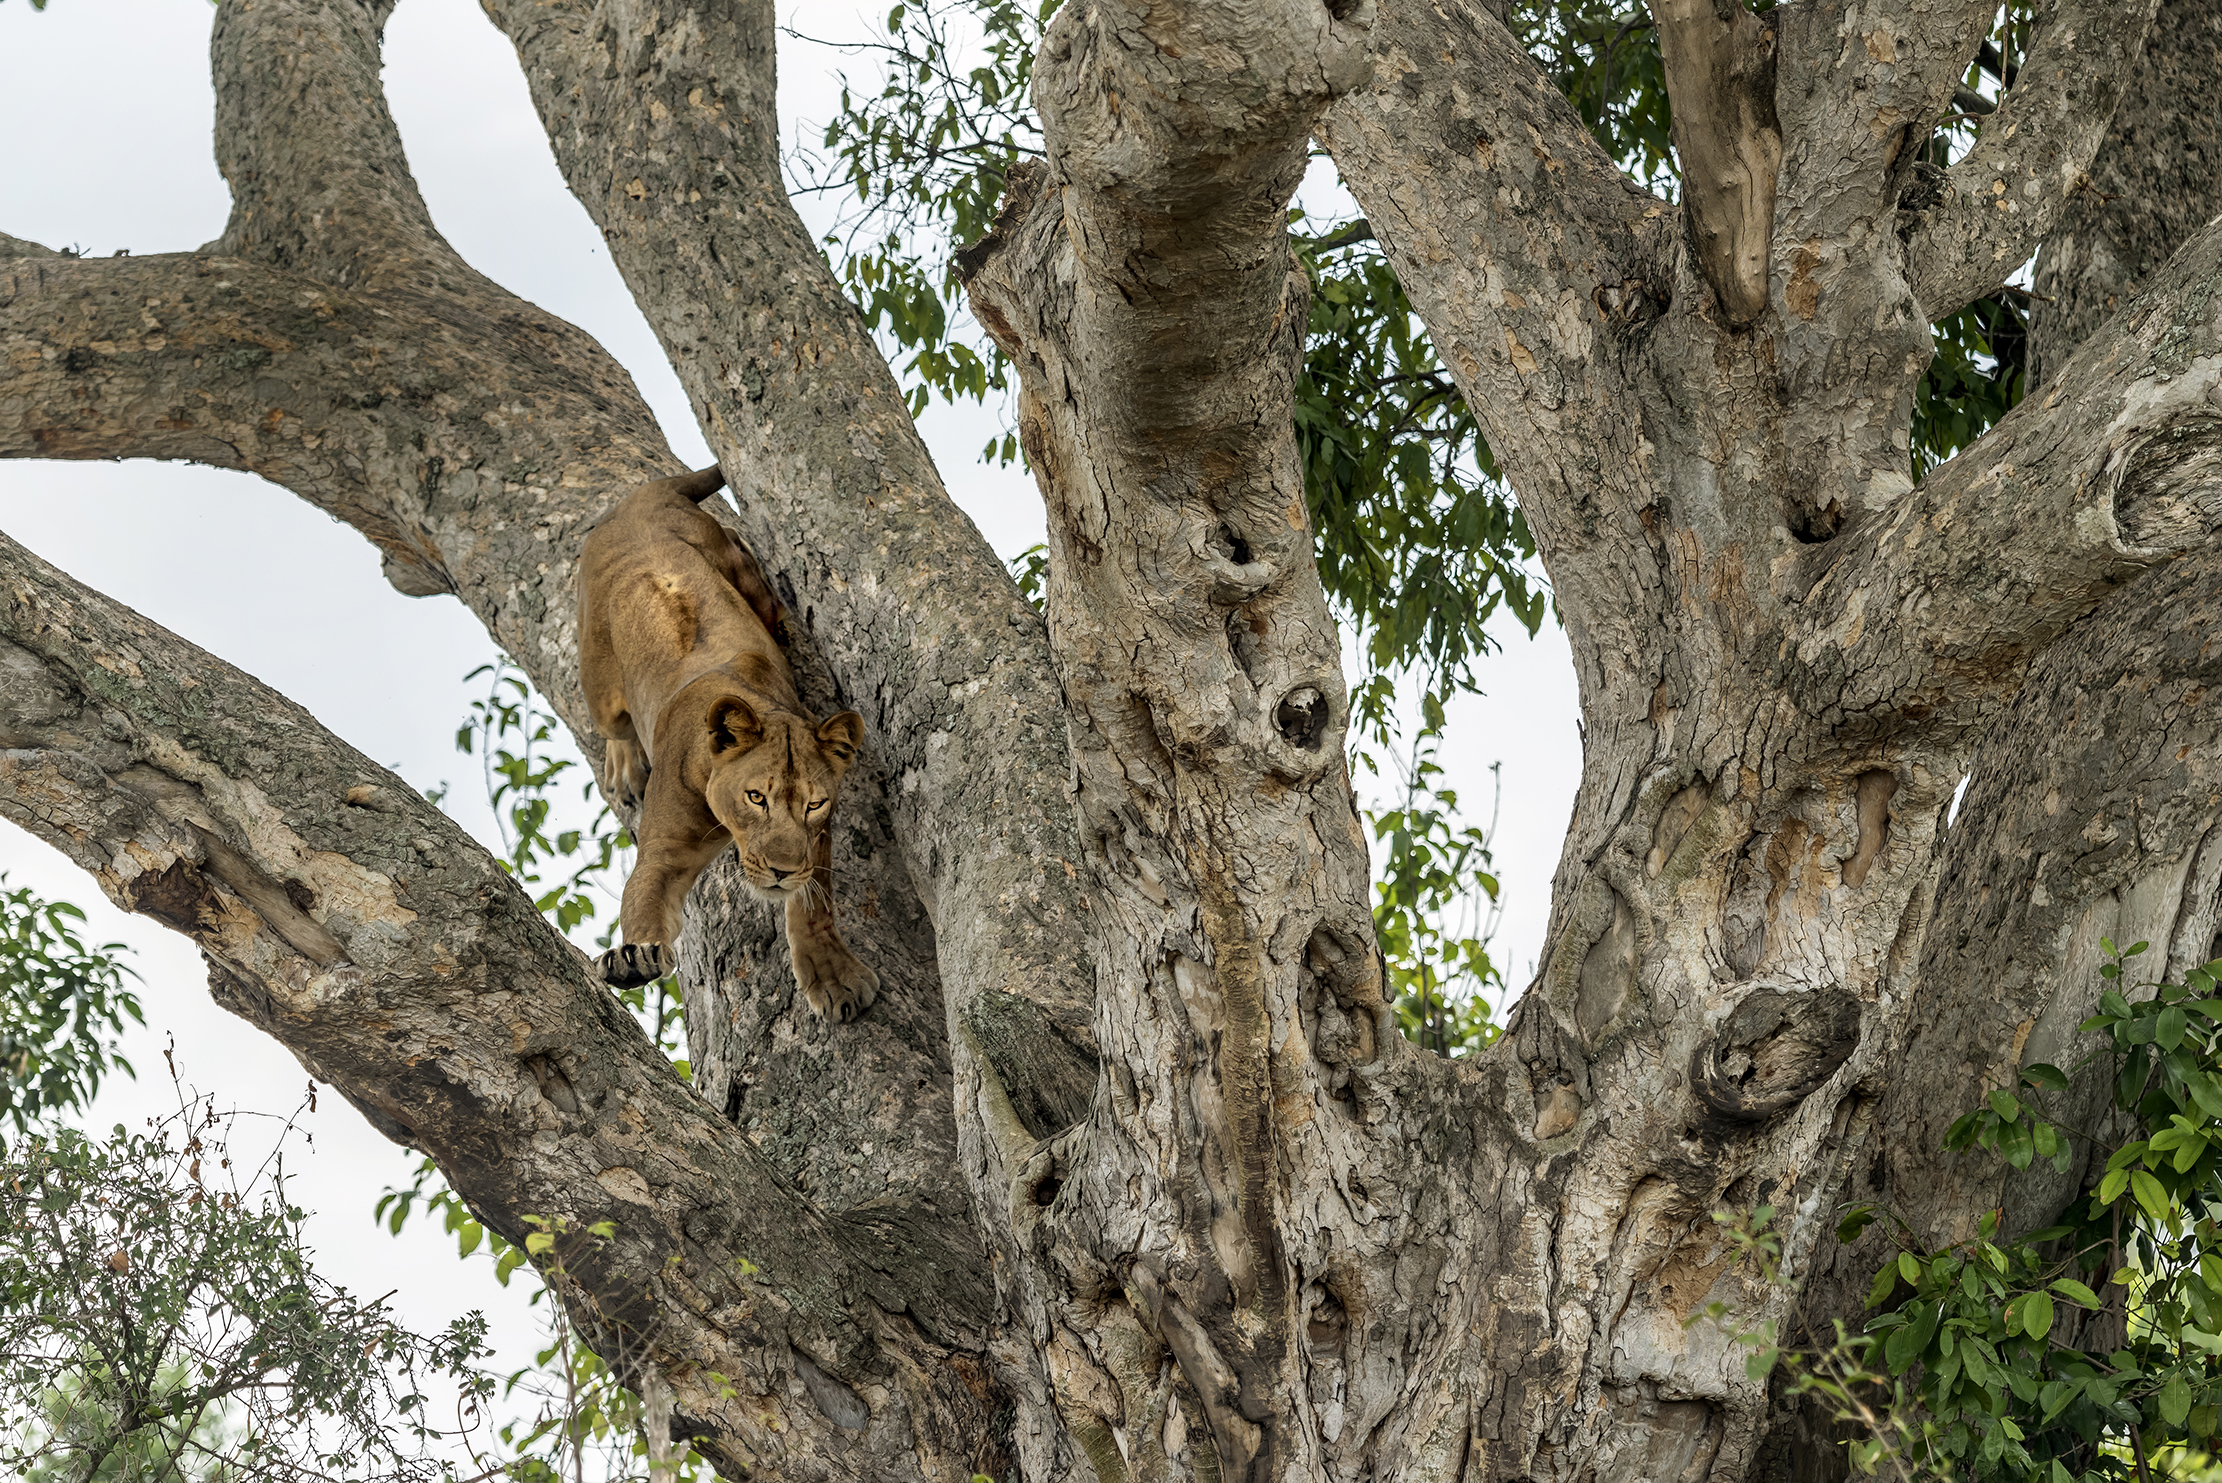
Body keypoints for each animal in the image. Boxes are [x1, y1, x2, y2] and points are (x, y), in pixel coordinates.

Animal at [577, 464, 879, 1022]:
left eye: (815, 804)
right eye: (755, 797)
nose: (780, 871)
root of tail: (638, 500)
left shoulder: (815, 842)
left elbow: (813, 905)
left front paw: (834, 978)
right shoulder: (663, 850)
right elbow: (644, 899)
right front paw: (634, 956)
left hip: (742, 574)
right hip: (598, 683)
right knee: (614, 726)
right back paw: (625, 767)